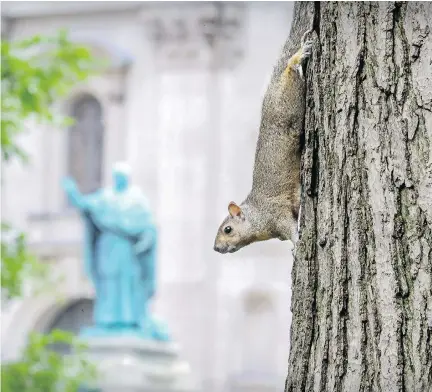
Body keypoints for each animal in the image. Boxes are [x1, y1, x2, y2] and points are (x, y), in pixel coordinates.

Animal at [213, 32, 312, 256]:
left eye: (228, 229)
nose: (216, 248)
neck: (256, 214)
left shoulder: (277, 215)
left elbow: (291, 229)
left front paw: (297, 246)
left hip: (287, 107)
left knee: (289, 71)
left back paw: (297, 57)